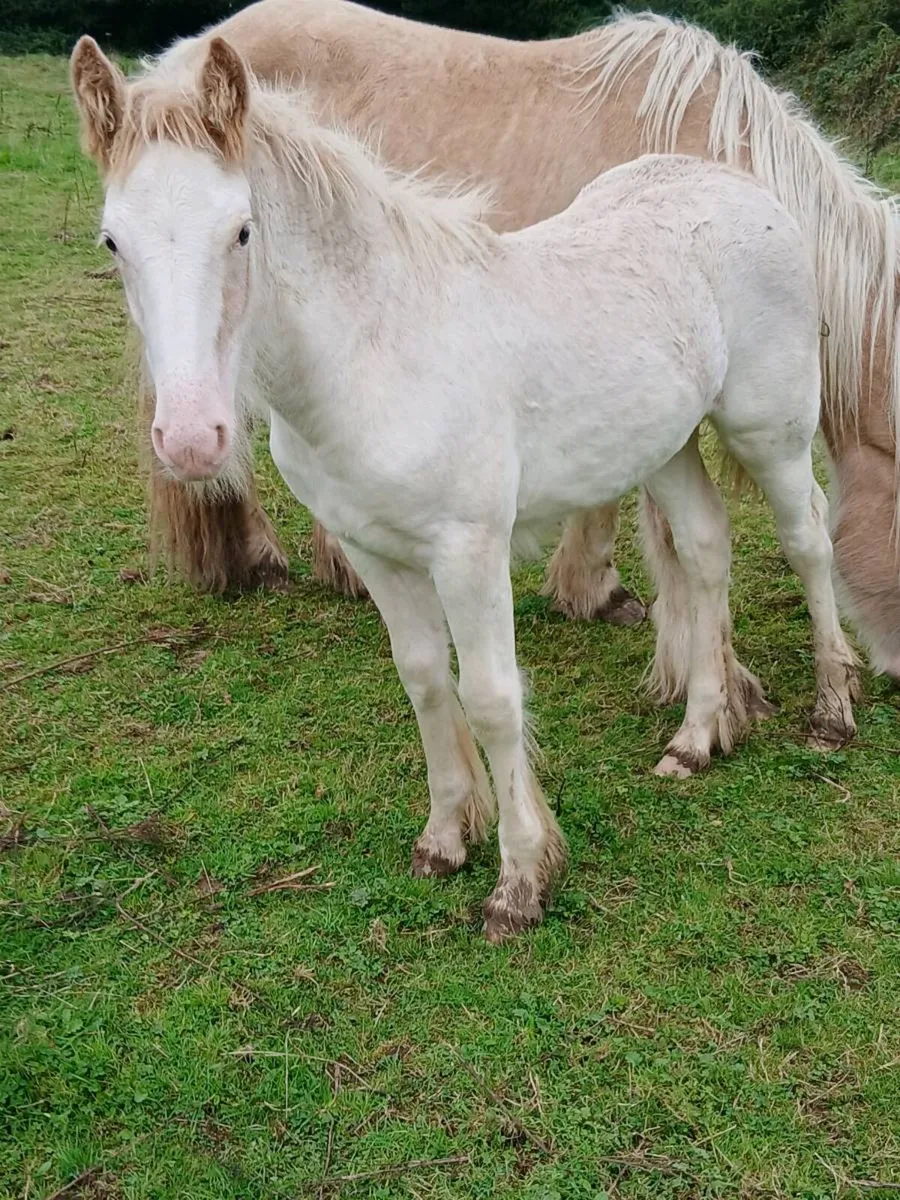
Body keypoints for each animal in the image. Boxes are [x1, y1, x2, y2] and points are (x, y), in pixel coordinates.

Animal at [71, 34, 859, 940]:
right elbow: (422, 682)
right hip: (664, 445)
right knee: (703, 548)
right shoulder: (374, 550)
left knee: (808, 540)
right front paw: (445, 839)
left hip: (770, 427)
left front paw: (520, 881)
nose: (193, 440)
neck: (376, 350)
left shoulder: (469, 549)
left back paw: (833, 711)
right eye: (112, 242)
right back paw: (694, 740)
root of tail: (737, 186)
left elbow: (489, 698)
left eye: (241, 231)